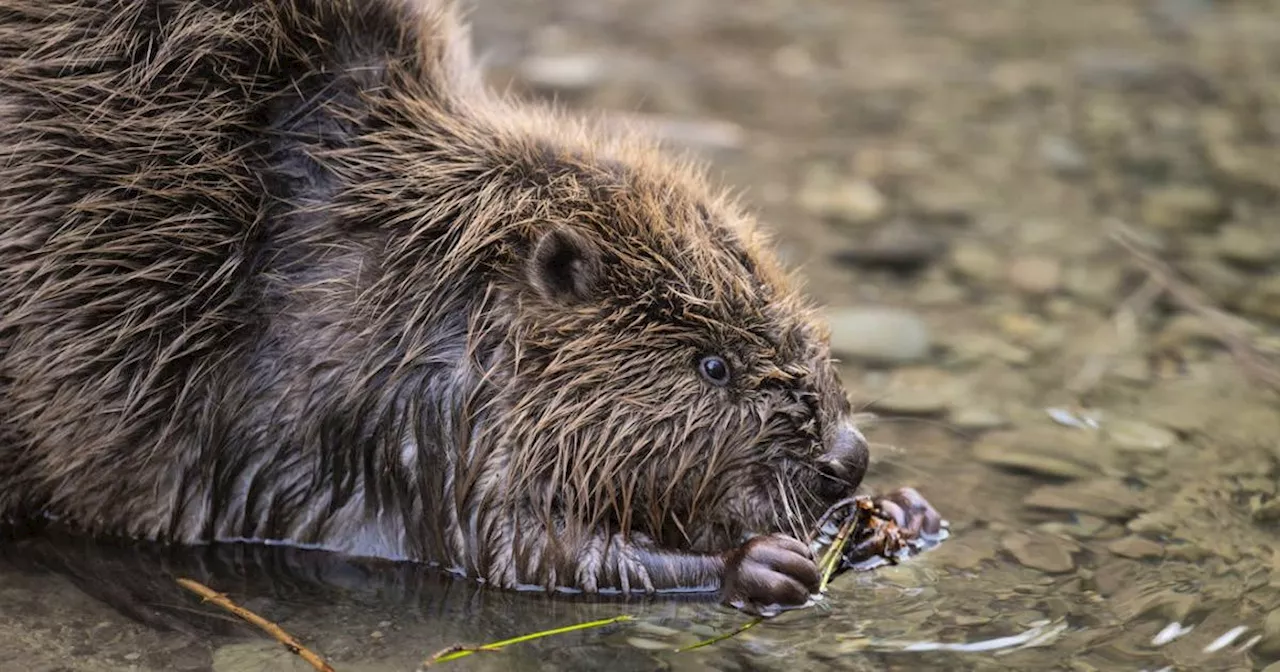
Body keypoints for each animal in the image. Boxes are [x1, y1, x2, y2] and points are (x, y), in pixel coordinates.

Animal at [0, 0, 942, 611]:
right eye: (710, 364)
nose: (847, 458)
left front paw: (901, 513)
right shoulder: (379, 419)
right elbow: (507, 548)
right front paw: (762, 564)